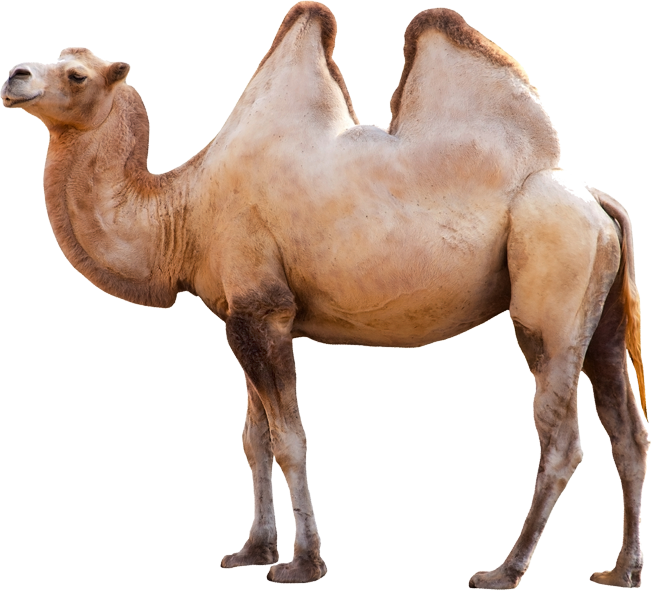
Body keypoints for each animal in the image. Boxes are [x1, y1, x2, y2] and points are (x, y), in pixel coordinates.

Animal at [2, 3, 647, 588]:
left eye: (77, 74)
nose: (15, 76)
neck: (182, 211)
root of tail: (598, 201)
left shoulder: (263, 308)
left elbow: (289, 440)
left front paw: (302, 564)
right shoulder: (243, 314)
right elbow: (253, 440)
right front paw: (251, 551)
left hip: (549, 295)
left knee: (561, 437)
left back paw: (504, 569)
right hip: (602, 317)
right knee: (628, 430)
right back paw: (619, 570)